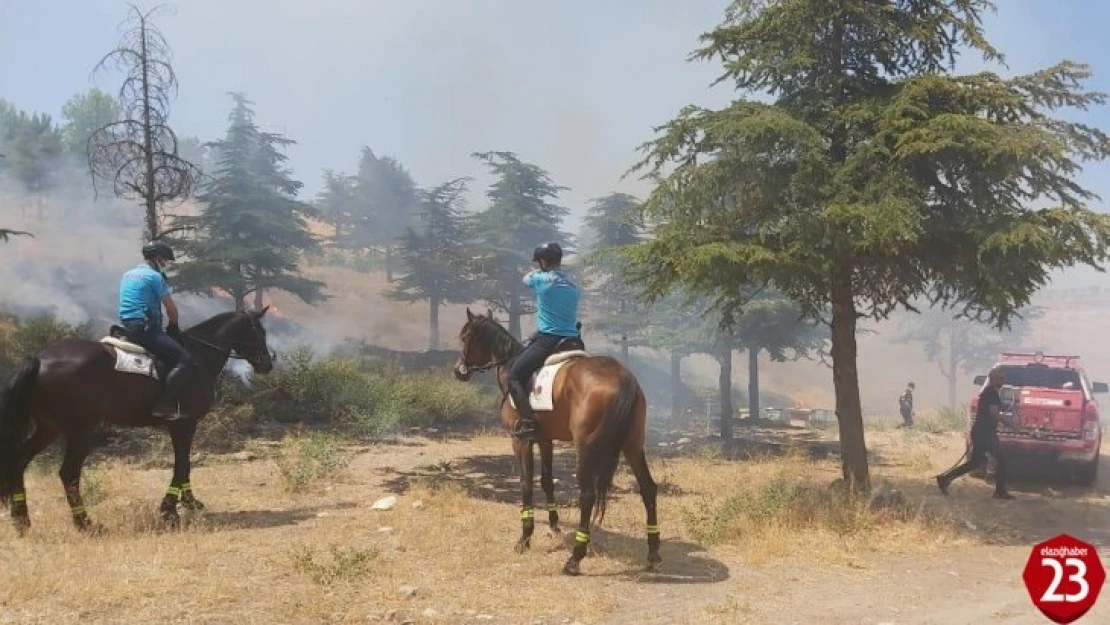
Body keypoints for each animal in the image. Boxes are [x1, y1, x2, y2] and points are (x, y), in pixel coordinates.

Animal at [0, 308, 275, 532]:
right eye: (259, 331)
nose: (267, 364)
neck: (198, 356)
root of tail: (40, 360)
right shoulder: (184, 423)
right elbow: (182, 464)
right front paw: (169, 510)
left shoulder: (181, 425)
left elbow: (185, 464)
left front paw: (190, 502)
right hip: (79, 431)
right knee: (68, 473)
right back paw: (85, 524)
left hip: (49, 428)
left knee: (18, 462)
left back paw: (21, 521)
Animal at [450, 308, 657, 577]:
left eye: (465, 337)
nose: (459, 370)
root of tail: (623, 378)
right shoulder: (545, 439)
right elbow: (547, 481)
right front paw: (554, 526)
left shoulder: (520, 441)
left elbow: (526, 484)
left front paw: (525, 538)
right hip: (632, 446)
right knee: (648, 488)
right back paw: (653, 552)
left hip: (586, 448)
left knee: (587, 495)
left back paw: (574, 559)